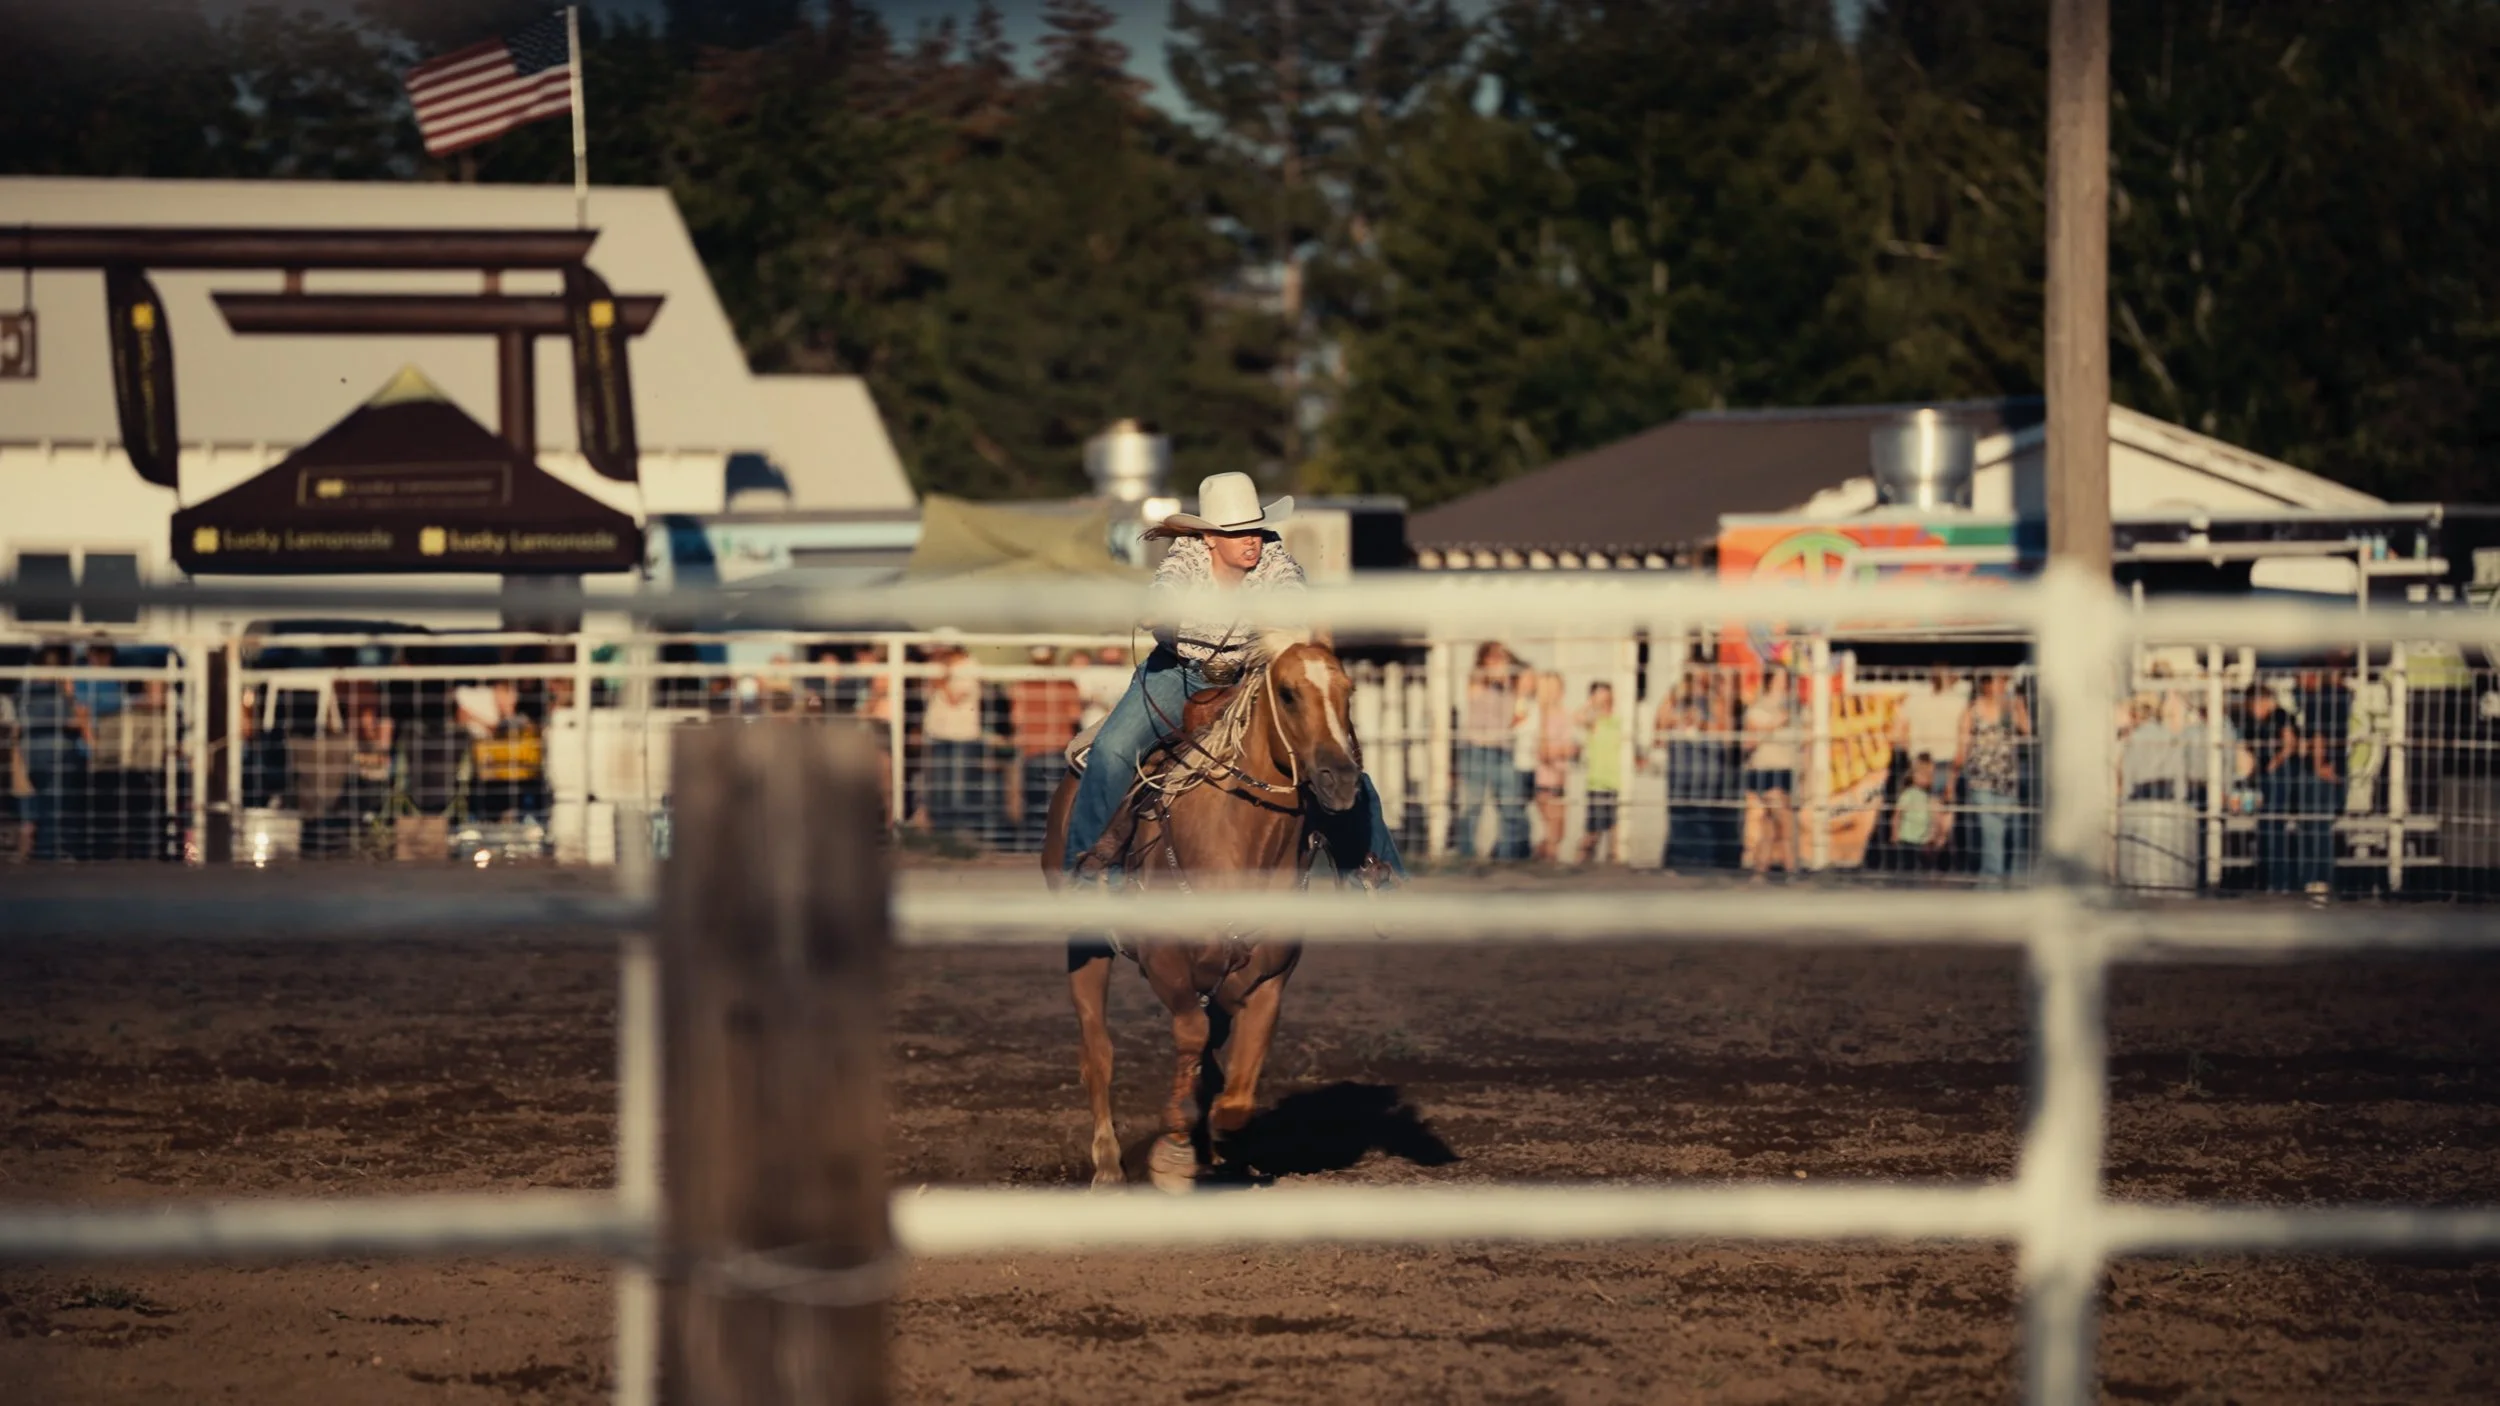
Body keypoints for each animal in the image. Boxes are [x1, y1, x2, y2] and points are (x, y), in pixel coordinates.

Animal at [1041, 635, 1369, 1192]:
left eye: (1348, 691)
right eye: (1288, 694)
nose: (1342, 780)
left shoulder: (1268, 980)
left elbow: (1235, 1090)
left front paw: (1218, 1144)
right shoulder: (1165, 962)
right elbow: (1191, 1035)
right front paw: (1173, 1153)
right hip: (1084, 948)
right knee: (1098, 1052)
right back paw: (1107, 1163)